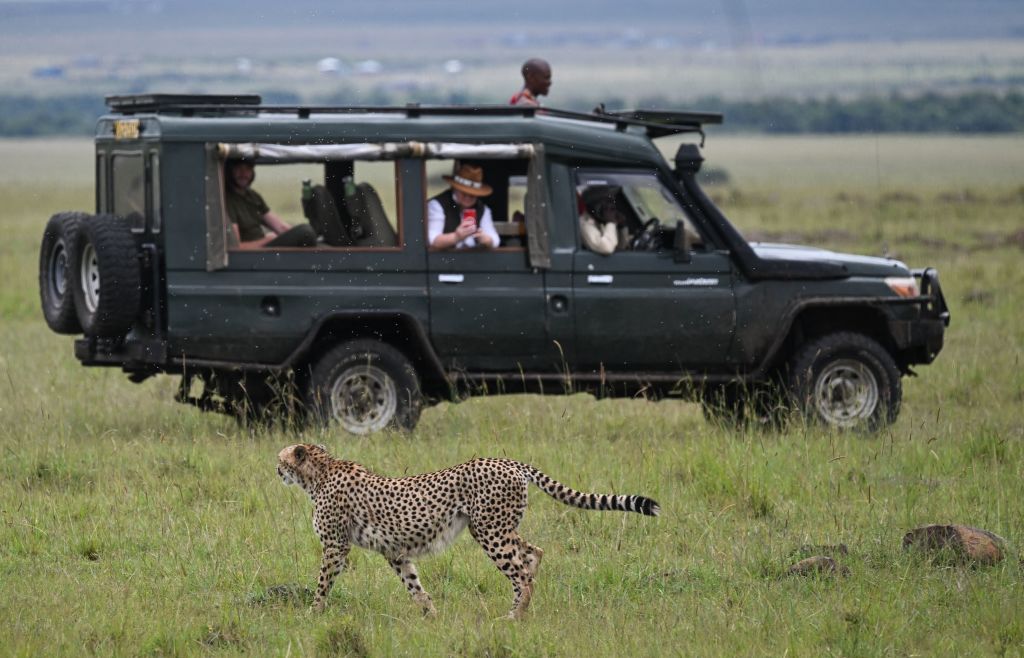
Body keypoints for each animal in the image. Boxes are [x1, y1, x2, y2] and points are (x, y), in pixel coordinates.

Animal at [276, 443, 660, 619]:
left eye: (281, 460)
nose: (276, 470)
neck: (320, 471)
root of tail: (507, 461)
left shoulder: (335, 547)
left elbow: (323, 583)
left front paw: (313, 613)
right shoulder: (395, 552)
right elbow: (414, 586)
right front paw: (431, 616)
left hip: (489, 530)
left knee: (521, 572)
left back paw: (514, 616)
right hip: (498, 527)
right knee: (533, 553)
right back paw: (518, 608)